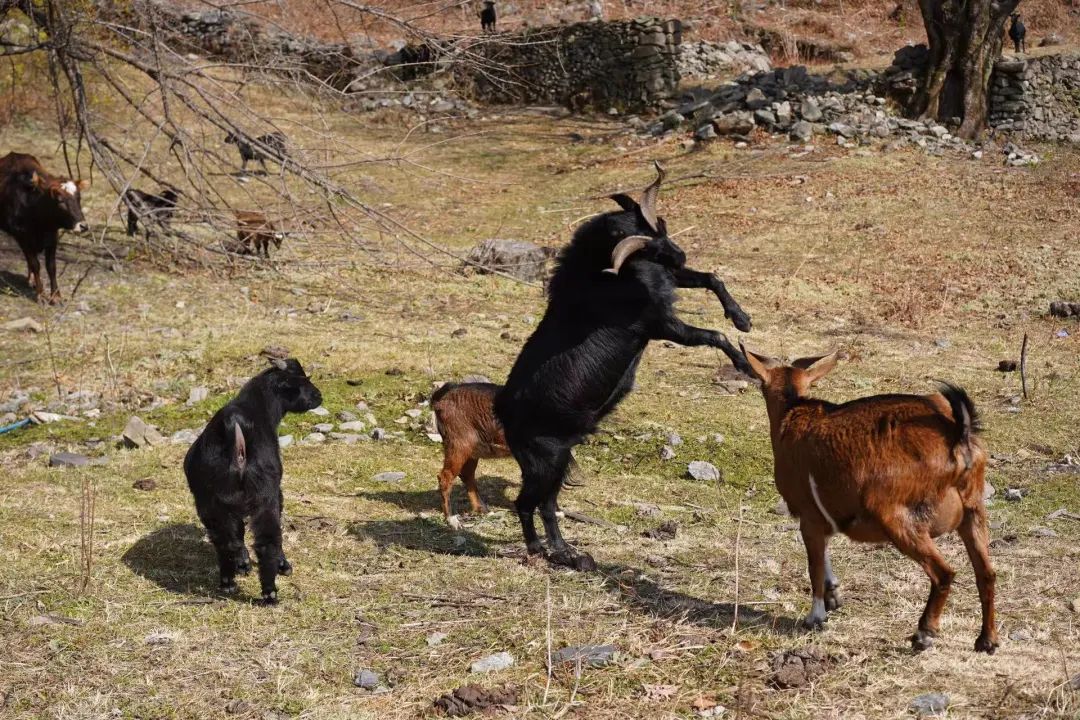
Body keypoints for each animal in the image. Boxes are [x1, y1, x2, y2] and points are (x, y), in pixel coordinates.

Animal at [0, 154, 88, 304]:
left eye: (79, 198)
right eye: (60, 200)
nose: (83, 226)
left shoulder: (52, 237)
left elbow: (51, 266)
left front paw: (56, 296)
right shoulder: (22, 236)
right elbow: (36, 264)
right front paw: (41, 295)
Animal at [183, 358, 319, 604]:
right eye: (303, 379)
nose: (319, 396)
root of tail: (234, 429)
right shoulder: (275, 491)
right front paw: (283, 566)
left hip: (209, 501)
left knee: (224, 540)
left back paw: (229, 580)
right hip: (264, 496)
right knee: (267, 541)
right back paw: (270, 592)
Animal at [429, 382, 509, 528]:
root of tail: (440, 399)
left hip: (473, 449)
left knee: (467, 474)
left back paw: (483, 510)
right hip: (458, 443)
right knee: (445, 477)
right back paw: (451, 520)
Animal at [494, 161, 751, 569]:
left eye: (660, 227)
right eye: (644, 246)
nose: (679, 255)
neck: (601, 275)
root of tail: (503, 413)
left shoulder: (669, 285)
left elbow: (712, 279)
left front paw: (743, 319)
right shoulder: (659, 325)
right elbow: (714, 336)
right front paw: (745, 365)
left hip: (558, 458)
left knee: (546, 505)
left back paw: (567, 552)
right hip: (546, 459)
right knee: (528, 504)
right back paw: (548, 551)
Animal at [738, 345, 997, 656]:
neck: (793, 413)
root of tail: (957, 435)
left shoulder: (809, 515)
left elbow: (814, 565)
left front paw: (816, 616)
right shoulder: (826, 517)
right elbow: (824, 553)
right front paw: (834, 595)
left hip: (896, 516)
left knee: (944, 572)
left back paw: (924, 633)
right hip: (973, 510)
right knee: (986, 573)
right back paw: (986, 640)